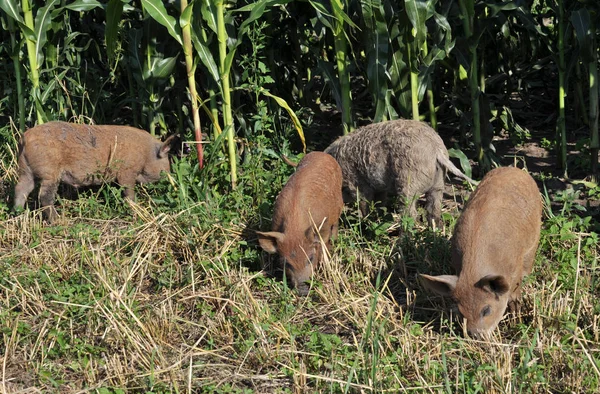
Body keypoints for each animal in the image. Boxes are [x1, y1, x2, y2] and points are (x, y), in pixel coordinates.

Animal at [12, 121, 175, 222]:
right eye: (166, 162)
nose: (172, 179)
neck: (147, 154)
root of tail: (24, 138)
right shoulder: (127, 172)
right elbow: (129, 193)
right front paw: (136, 210)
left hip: (25, 171)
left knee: (20, 189)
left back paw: (17, 213)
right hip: (50, 172)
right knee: (44, 196)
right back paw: (59, 221)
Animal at [326, 118, 476, 226]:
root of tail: (436, 149)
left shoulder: (357, 183)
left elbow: (364, 203)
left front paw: (365, 221)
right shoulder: (380, 188)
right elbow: (379, 203)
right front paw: (376, 219)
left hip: (409, 181)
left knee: (411, 213)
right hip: (439, 183)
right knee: (434, 210)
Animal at [420, 168, 540, 338]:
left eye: (486, 310)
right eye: (461, 312)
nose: (476, 336)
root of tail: (515, 169)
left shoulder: (515, 269)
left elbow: (514, 295)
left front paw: (515, 320)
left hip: (534, 240)